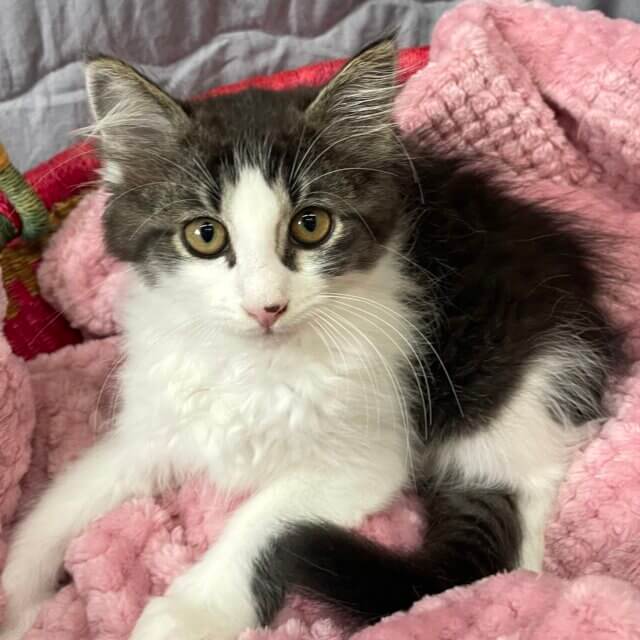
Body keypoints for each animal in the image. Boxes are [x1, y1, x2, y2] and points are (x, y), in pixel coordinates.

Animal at [0, 39, 623, 640]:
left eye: (311, 225)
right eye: (205, 235)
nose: (267, 307)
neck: (253, 365)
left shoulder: (366, 456)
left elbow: (261, 517)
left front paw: (188, 613)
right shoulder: (156, 425)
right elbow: (61, 502)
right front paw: (14, 600)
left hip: (507, 383)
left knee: (525, 506)